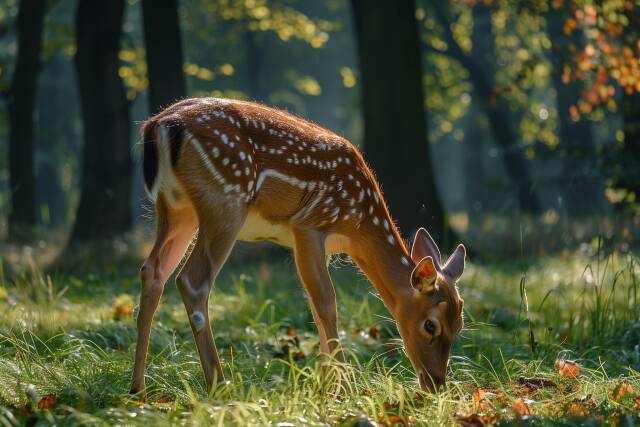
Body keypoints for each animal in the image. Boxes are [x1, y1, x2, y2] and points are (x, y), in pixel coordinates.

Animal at [131, 97, 464, 398]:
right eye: (431, 326)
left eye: (460, 324)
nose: (436, 384)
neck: (359, 225)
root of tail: (162, 124)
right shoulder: (309, 225)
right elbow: (327, 304)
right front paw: (346, 391)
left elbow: (315, 307)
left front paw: (327, 387)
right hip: (225, 200)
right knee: (192, 281)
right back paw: (219, 385)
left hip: (177, 207)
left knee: (152, 271)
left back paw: (138, 389)